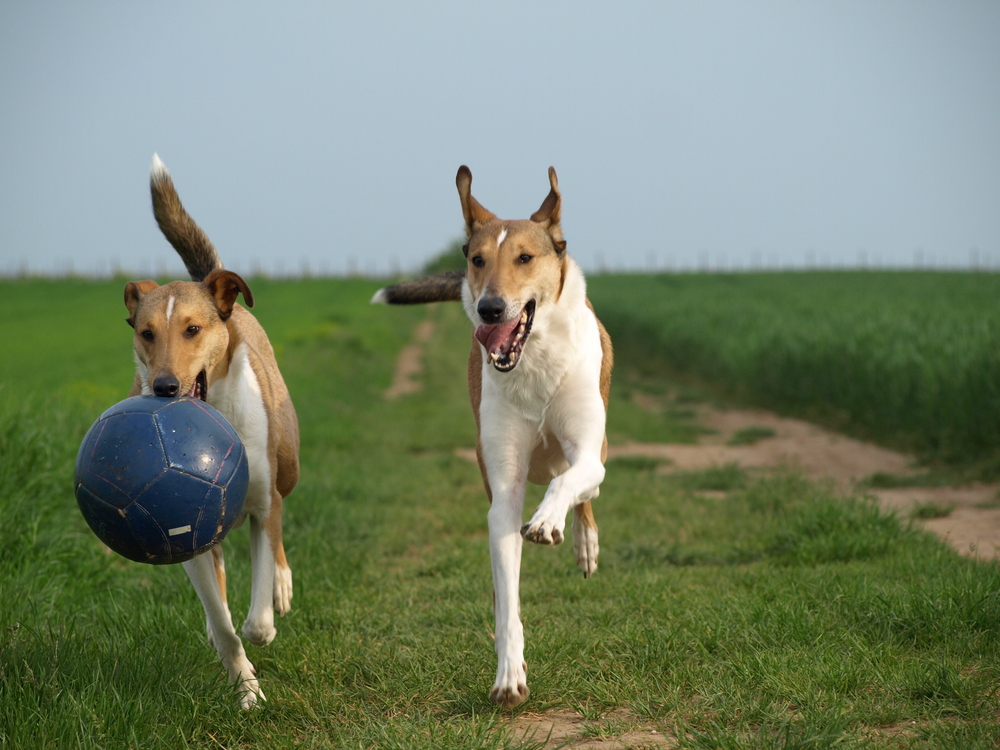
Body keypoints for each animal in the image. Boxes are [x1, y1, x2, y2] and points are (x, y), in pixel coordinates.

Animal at [123, 154, 298, 712]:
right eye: (146, 333)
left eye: (193, 330)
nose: (164, 387)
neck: (218, 411)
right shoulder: (190, 534)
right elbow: (223, 625)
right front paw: (247, 689)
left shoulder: (262, 504)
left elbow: (256, 615)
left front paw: (264, 616)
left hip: (288, 464)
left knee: (281, 534)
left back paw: (281, 586)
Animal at [374, 166, 608, 712]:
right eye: (477, 259)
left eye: (525, 257)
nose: (491, 309)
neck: (534, 363)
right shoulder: (502, 494)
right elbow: (508, 604)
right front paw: (509, 677)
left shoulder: (589, 451)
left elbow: (568, 483)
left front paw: (547, 522)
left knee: (584, 492)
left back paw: (582, 541)